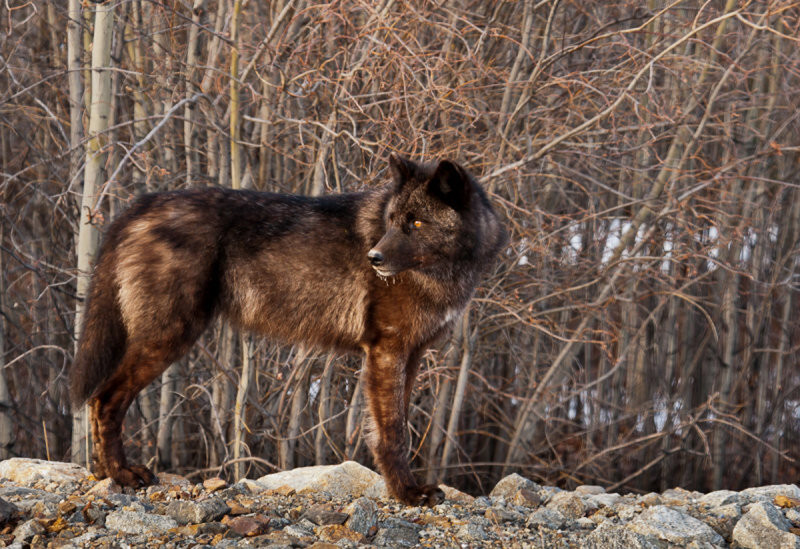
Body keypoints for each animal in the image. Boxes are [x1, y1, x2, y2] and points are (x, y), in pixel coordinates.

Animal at [70, 155, 507, 506]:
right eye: (392, 222)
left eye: (416, 222)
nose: (374, 258)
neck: (442, 274)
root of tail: (140, 205)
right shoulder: (387, 351)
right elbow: (393, 433)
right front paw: (408, 494)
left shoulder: (410, 355)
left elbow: (392, 428)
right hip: (167, 338)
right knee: (103, 399)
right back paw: (122, 474)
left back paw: (105, 473)